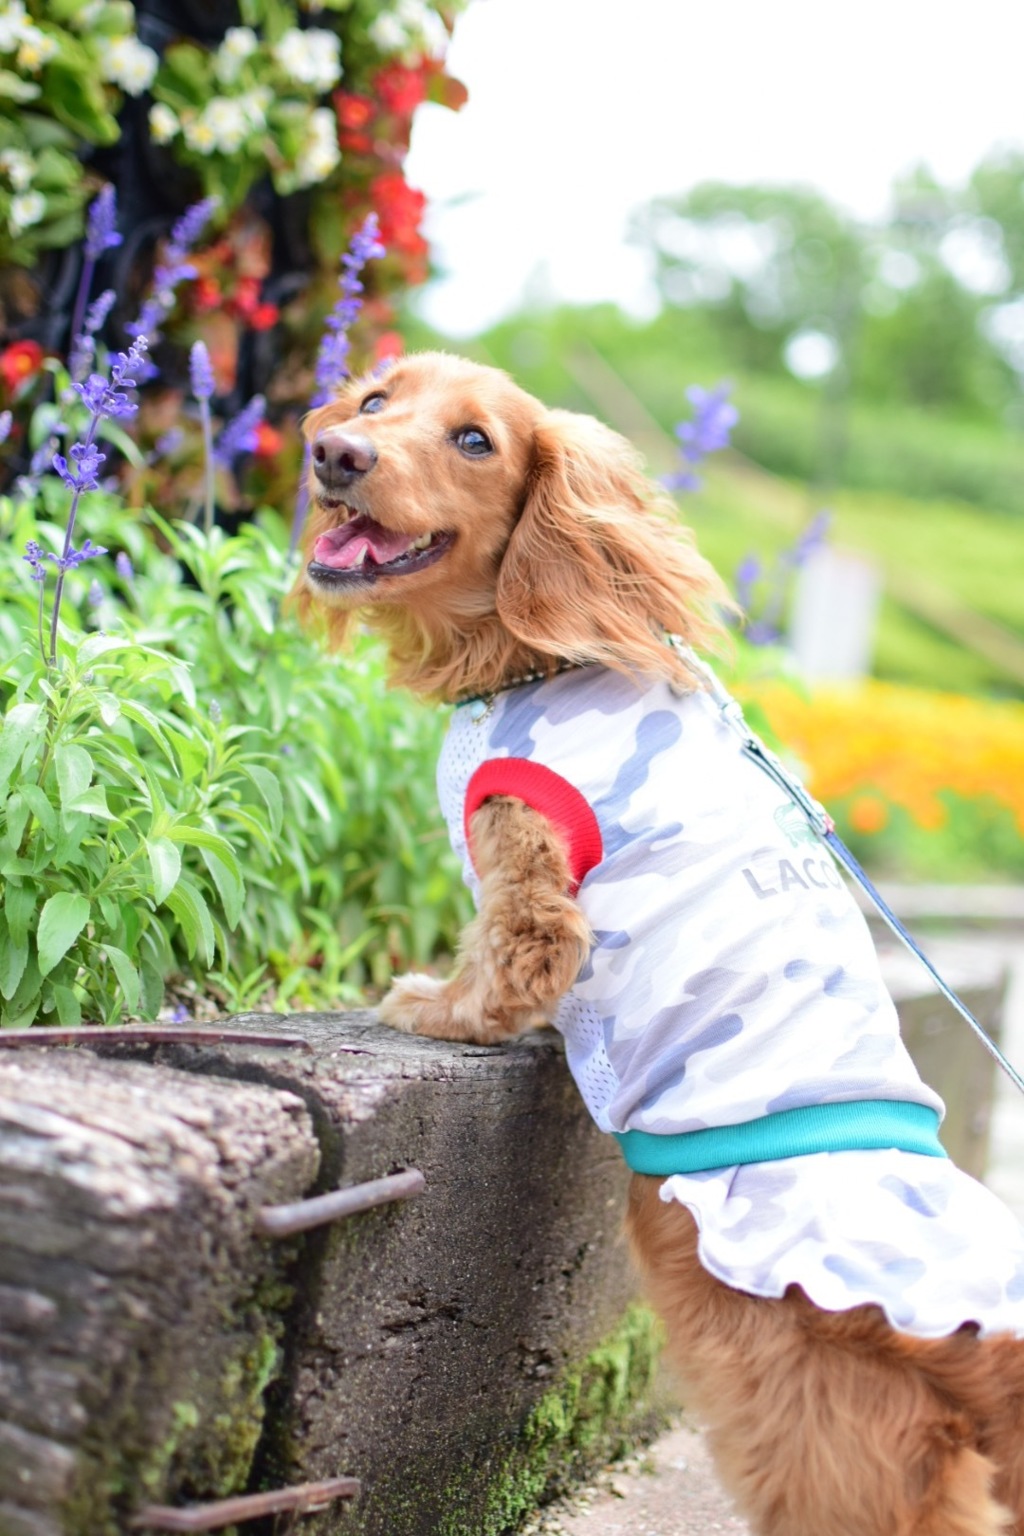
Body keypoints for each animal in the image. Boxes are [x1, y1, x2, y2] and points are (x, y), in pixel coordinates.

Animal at [294, 351, 1024, 1536]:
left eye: (475, 441)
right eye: (372, 402)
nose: (334, 455)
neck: (540, 660)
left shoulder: (526, 856)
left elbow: (501, 968)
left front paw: (423, 1003)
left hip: (819, 1438)